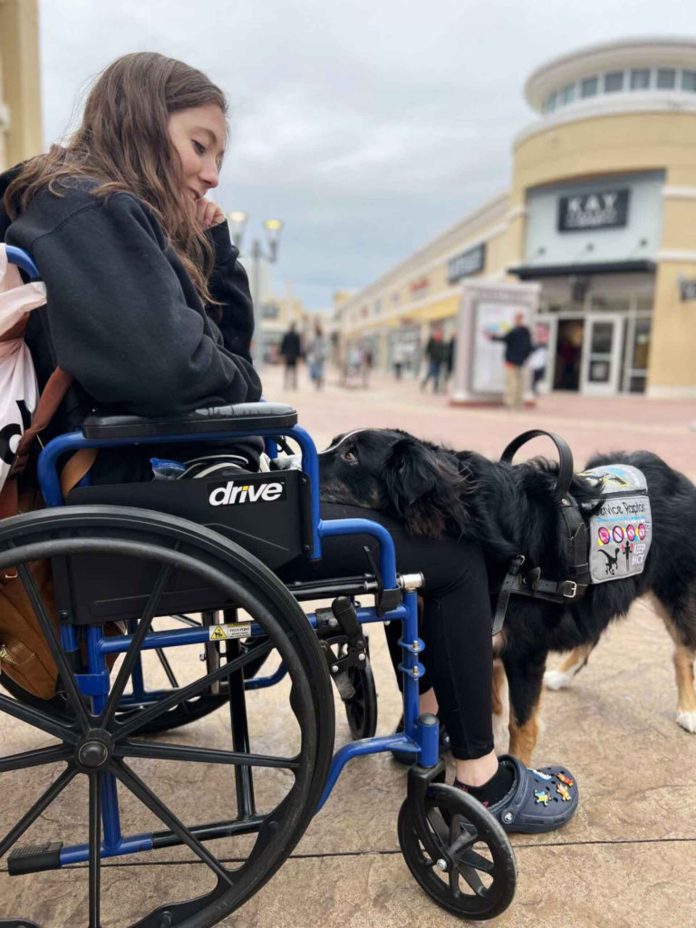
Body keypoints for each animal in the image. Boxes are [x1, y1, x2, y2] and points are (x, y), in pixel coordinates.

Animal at [320, 428, 696, 760]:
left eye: (351, 456)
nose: (301, 463)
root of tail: (675, 475)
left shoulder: (526, 649)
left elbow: (522, 725)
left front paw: (519, 769)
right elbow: (491, 693)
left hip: (673, 591)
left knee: (682, 650)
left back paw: (688, 711)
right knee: (593, 633)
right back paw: (563, 675)